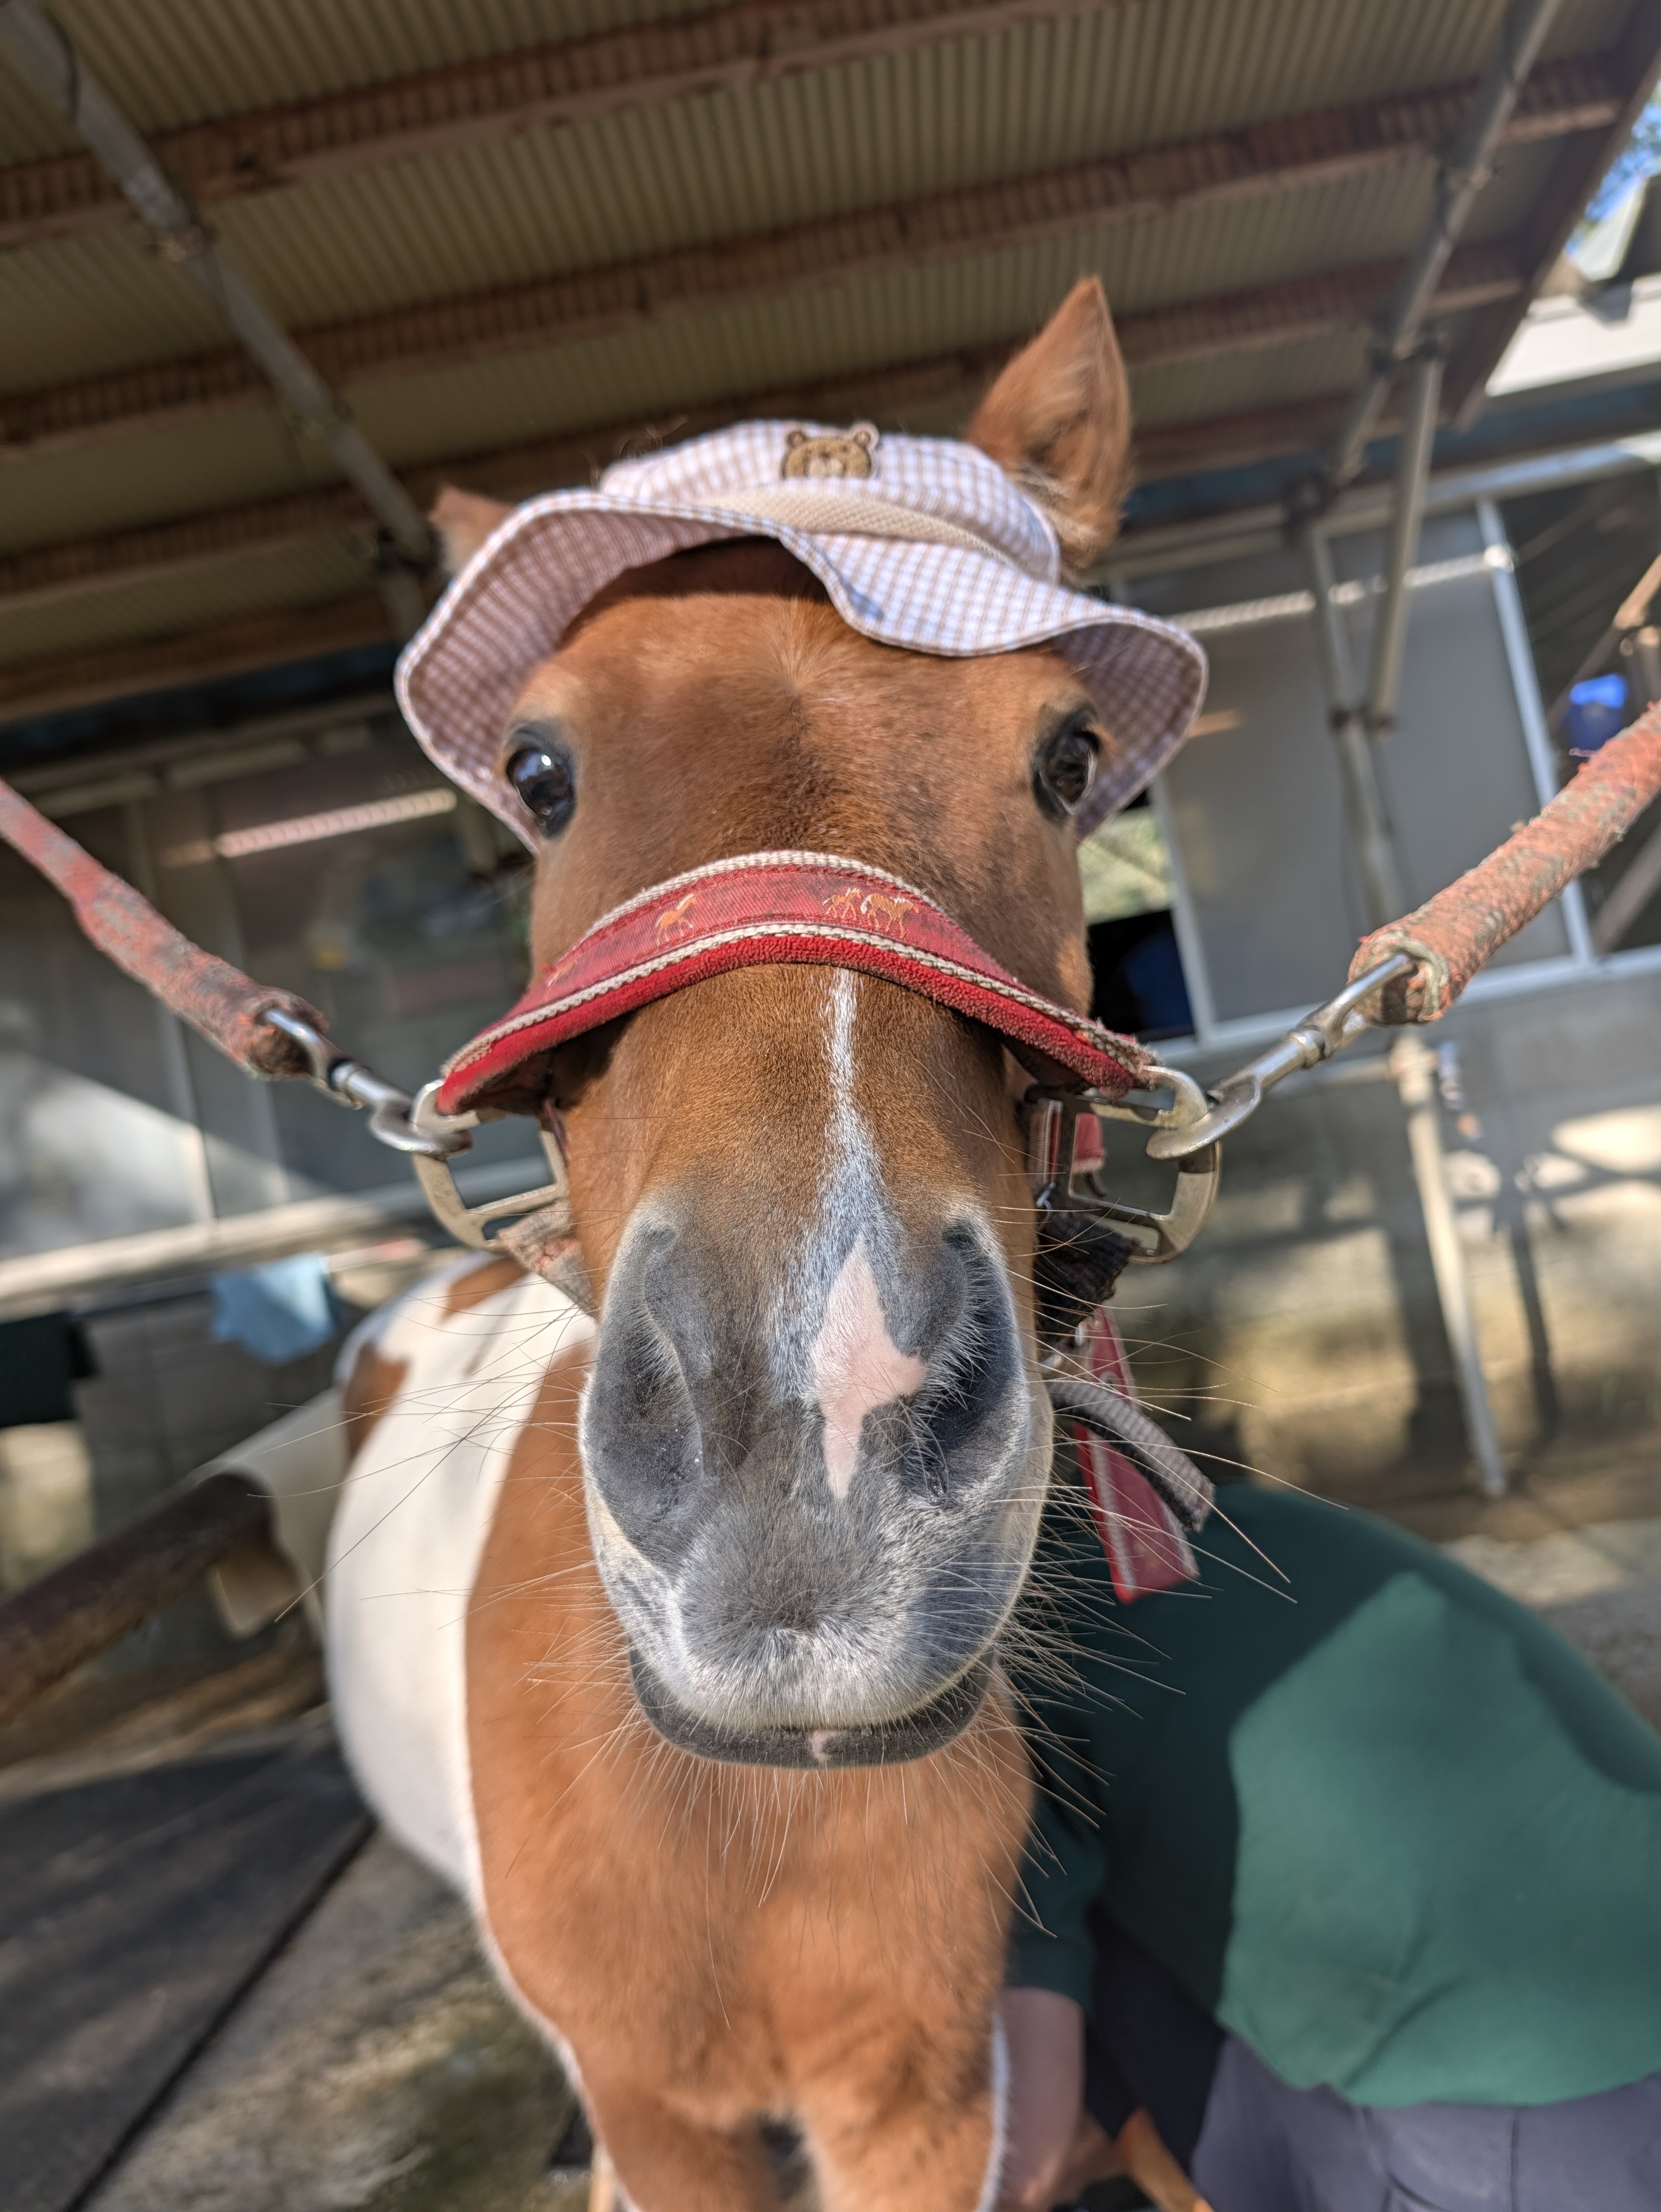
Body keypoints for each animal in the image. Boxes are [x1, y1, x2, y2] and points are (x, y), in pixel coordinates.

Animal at [326, 279, 1187, 2211]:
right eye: (540, 773)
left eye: (1068, 756)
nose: (819, 1419)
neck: (751, 1819)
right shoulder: (665, 2112)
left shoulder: (924, 2095)